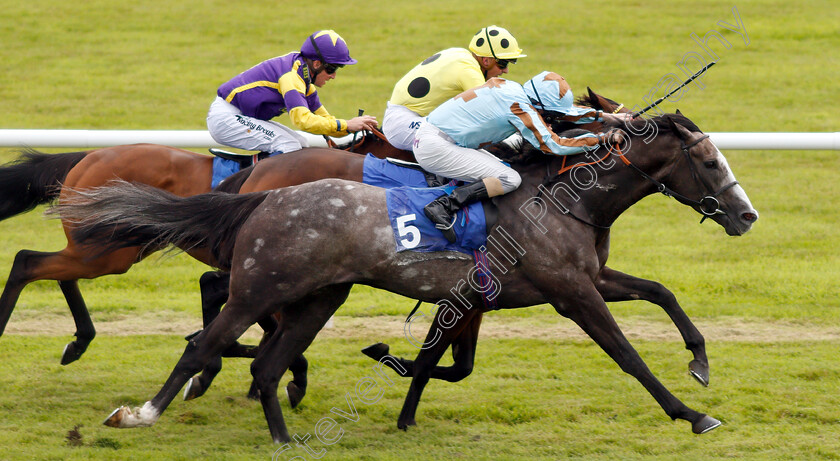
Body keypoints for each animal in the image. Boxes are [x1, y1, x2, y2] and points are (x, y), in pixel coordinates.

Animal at [0, 128, 410, 362]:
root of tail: (88, 155)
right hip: (108, 252)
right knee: (28, 261)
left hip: (105, 250)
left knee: (55, 270)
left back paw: (79, 341)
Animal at [55, 112, 756, 442]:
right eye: (709, 161)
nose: (746, 215)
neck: (562, 198)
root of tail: (262, 193)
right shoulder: (571, 293)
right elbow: (627, 354)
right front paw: (692, 413)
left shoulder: (579, 279)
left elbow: (661, 292)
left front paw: (699, 361)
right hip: (261, 286)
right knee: (206, 344)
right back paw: (139, 414)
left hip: (317, 297)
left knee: (268, 361)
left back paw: (284, 436)